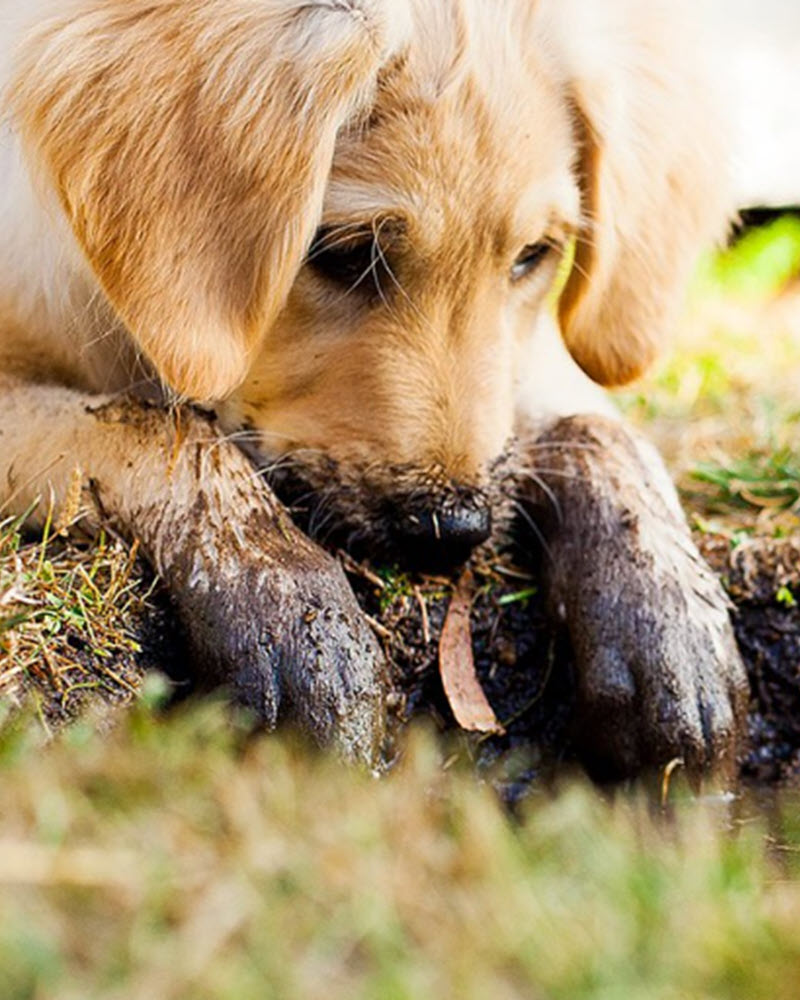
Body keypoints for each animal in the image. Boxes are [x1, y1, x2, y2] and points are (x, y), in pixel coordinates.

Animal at [0, 0, 752, 772]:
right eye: (347, 255)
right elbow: (157, 428)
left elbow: (596, 430)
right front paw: (292, 612)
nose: (453, 533)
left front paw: (665, 619)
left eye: (532, 256)